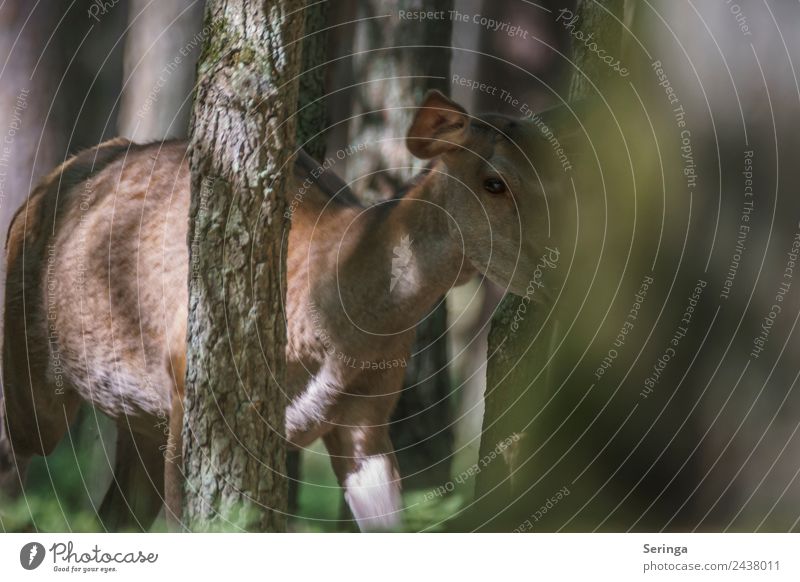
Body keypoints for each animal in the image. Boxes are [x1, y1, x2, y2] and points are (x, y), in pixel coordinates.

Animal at [0, 91, 564, 532]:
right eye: (494, 181)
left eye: (565, 180)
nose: (565, 263)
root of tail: (41, 189)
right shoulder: (189, 385)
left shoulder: (366, 421)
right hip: (33, 382)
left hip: (139, 417)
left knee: (115, 512)